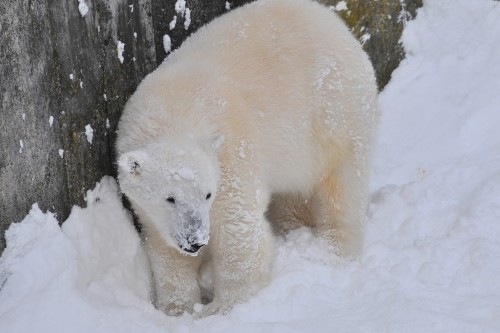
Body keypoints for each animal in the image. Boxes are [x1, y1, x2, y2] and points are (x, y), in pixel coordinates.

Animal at [115, 0, 376, 316]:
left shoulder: (233, 159)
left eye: (207, 194)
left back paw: (333, 249)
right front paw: (177, 308)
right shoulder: (152, 213)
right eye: (170, 198)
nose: (196, 241)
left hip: (335, 114)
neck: (171, 116)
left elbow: (238, 231)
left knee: (342, 185)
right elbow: (164, 249)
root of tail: (339, 26)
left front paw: (222, 307)